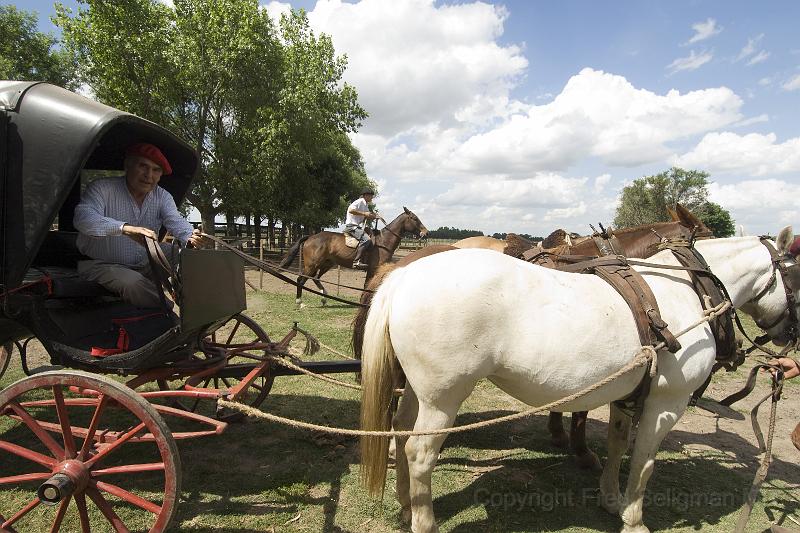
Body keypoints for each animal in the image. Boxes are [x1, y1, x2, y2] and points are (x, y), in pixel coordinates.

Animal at [282, 208, 432, 308]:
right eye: (415, 219)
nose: (426, 233)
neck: (383, 242)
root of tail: (310, 237)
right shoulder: (373, 270)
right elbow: (367, 287)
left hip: (326, 264)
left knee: (315, 278)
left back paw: (324, 298)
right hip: (312, 264)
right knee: (301, 280)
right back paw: (300, 303)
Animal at [362, 227, 800, 528]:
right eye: (796, 278)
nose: (791, 336)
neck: (688, 293)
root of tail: (404, 276)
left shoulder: (629, 396)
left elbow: (618, 445)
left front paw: (611, 499)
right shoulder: (666, 405)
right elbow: (644, 463)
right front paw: (634, 520)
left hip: (418, 390)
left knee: (400, 429)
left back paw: (406, 506)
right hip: (444, 397)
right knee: (420, 453)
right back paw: (424, 522)